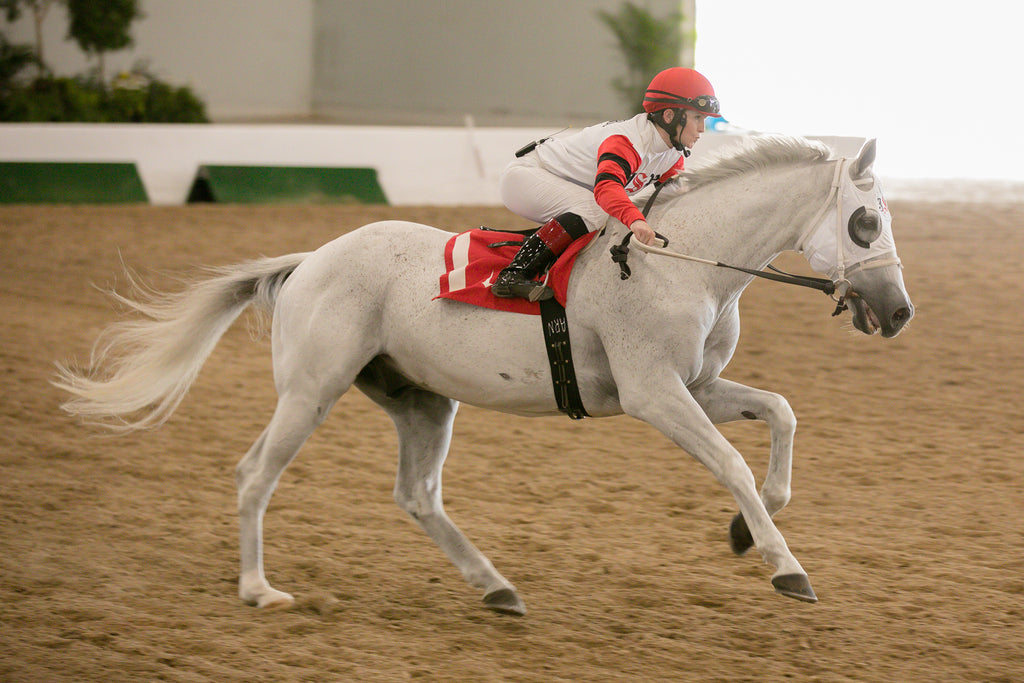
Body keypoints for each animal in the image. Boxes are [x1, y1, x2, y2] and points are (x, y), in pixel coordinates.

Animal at [54, 136, 913, 618]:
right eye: (866, 220)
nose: (900, 311)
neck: (686, 260)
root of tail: (309, 260)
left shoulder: (697, 388)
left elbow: (782, 412)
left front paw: (747, 529)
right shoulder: (655, 394)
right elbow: (733, 459)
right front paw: (786, 566)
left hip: (421, 401)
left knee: (417, 494)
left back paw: (496, 586)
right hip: (311, 389)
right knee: (255, 472)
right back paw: (259, 589)